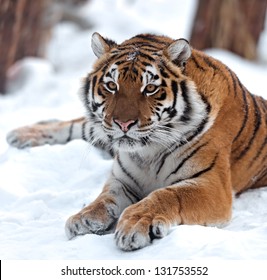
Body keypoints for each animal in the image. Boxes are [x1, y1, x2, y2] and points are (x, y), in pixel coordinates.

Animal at [5, 32, 267, 252]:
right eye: (112, 85)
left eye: (150, 88)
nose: (123, 124)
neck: (149, 152)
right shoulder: (122, 179)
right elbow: (105, 198)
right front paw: (84, 217)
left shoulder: (212, 185)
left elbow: (167, 195)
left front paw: (135, 224)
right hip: (99, 128)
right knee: (76, 124)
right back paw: (21, 133)